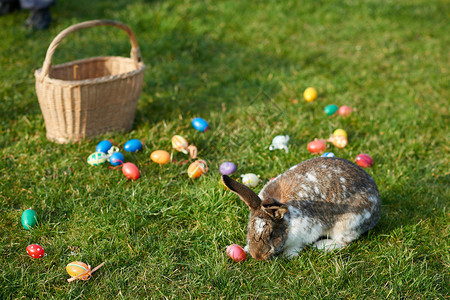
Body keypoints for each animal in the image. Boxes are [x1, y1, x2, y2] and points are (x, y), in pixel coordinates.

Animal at [221, 157, 380, 260]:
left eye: (271, 234)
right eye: (249, 230)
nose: (258, 256)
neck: (288, 220)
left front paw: (288, 255)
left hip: (347, 224)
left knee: (344, 242)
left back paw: (322, 246)